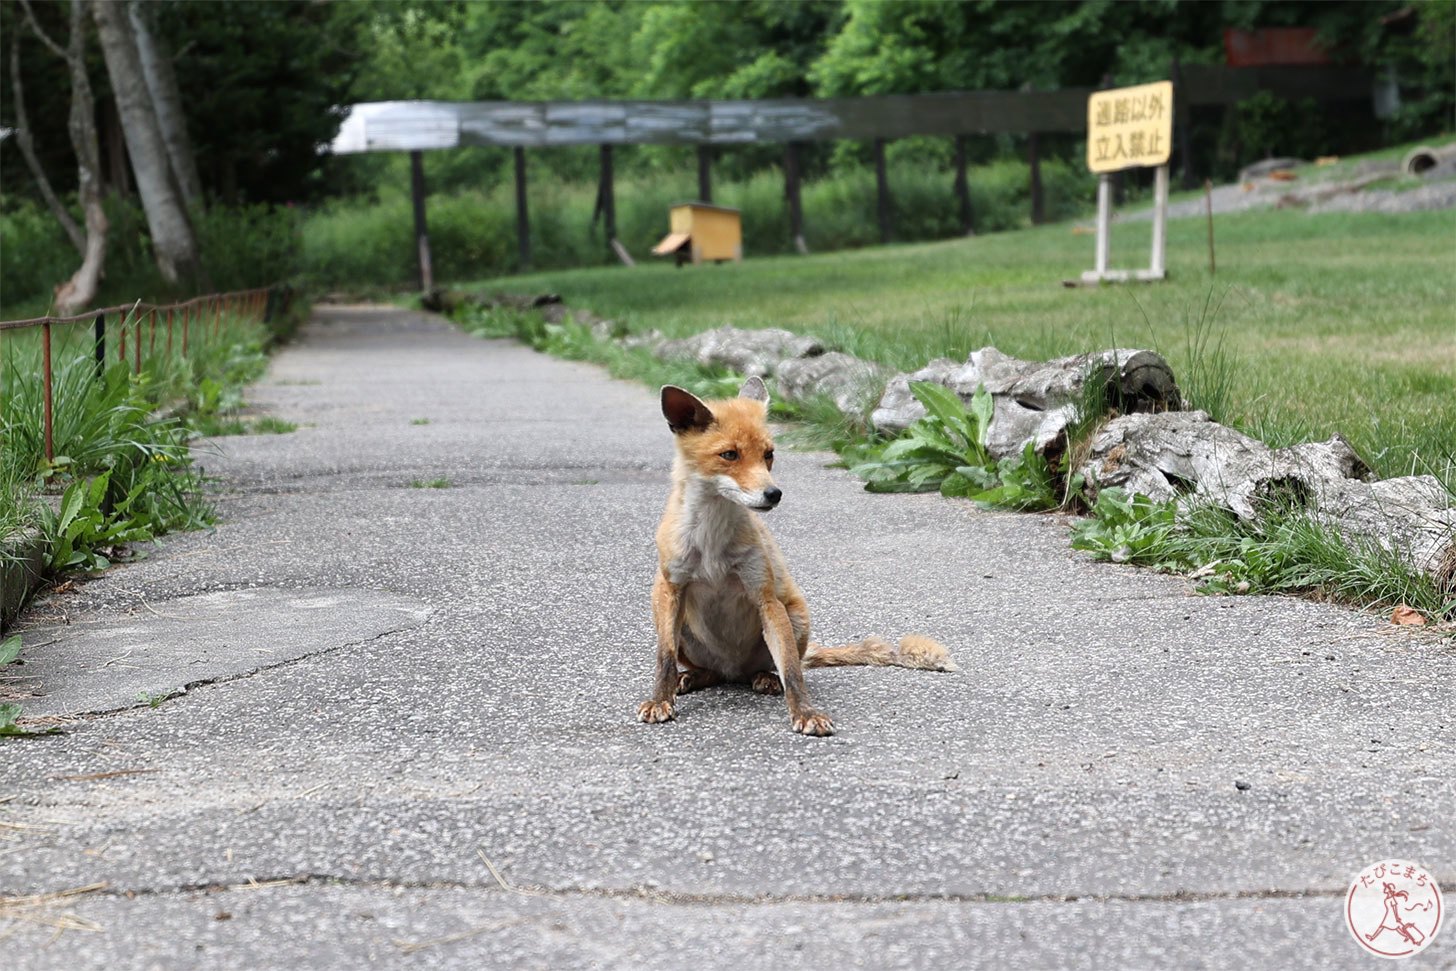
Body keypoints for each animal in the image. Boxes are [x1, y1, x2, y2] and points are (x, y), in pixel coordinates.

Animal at [637, 378, 955, 736]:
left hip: (796, 617)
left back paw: (764, 678)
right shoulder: (672, 588)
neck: (711, 547)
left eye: (769, 455)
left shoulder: (765, 598)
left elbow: (792, 670)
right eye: (729, 455)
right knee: (710, 672)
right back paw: (692, 677)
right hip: (665, 613)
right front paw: (660, 700)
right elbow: (664, 659)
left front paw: (805, 712)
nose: (773, 494)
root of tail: (733, 670)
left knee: (776, 667)